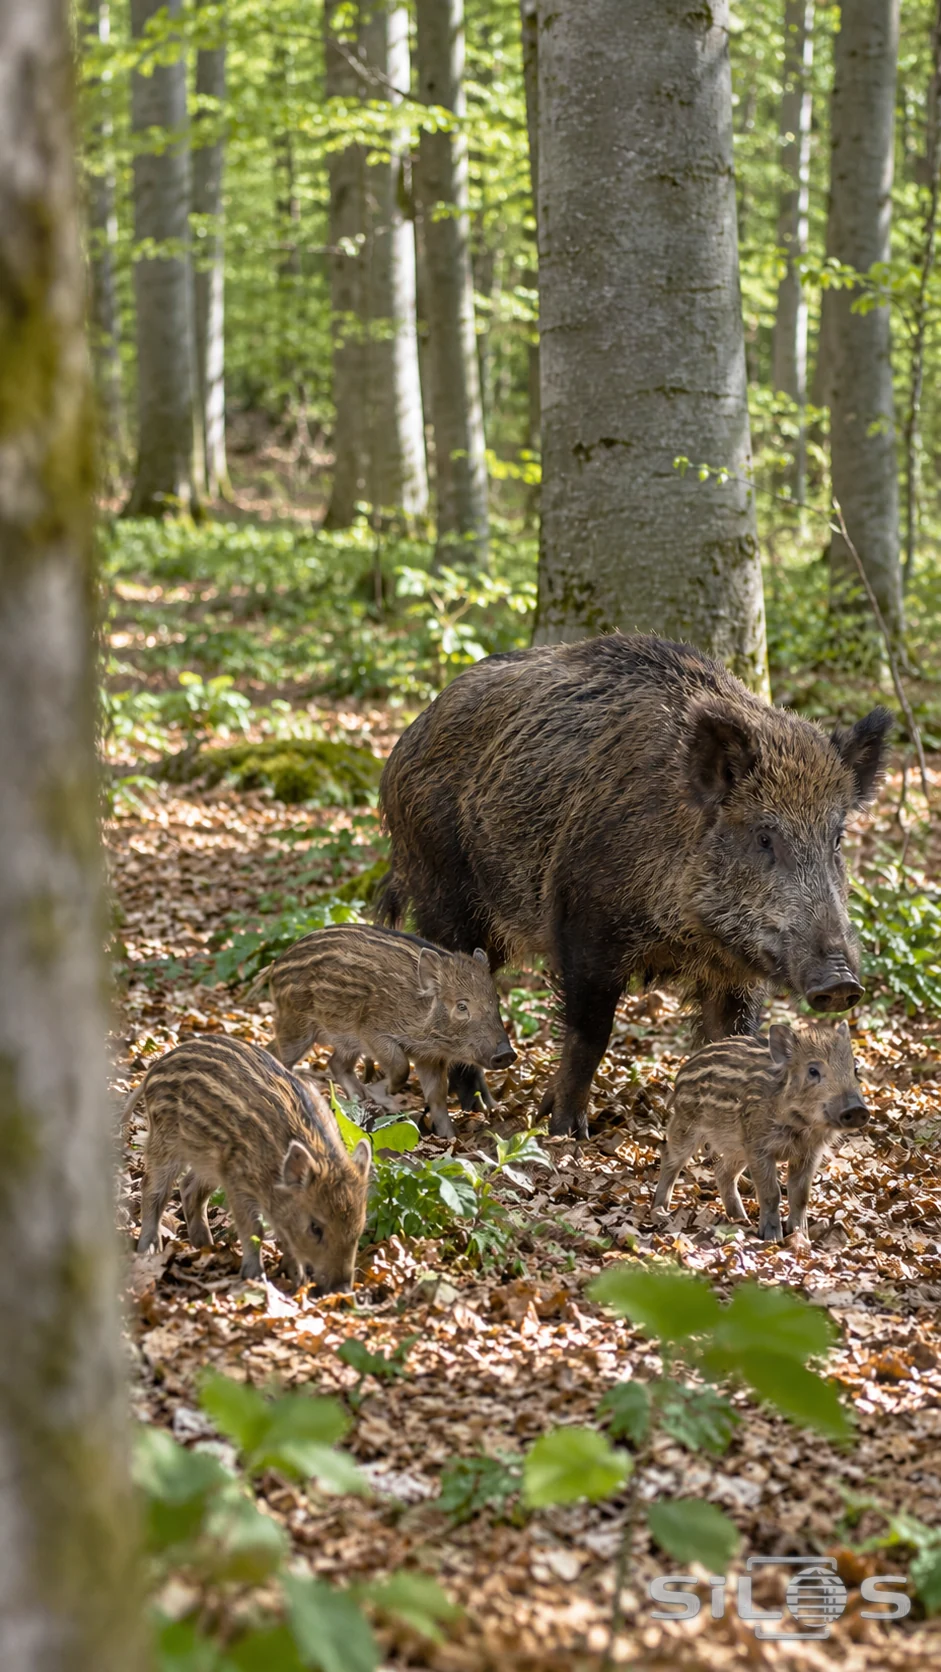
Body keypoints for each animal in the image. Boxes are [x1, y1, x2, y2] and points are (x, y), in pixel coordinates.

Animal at [126, 1036, 370, 1291]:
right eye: (315, 1227)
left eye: (360, 1226)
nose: (342, 1290)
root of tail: (158, 1065)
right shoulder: (238, 1181)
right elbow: (254, 1230)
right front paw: (256, 1276)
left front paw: (294, 1277)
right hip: (166, 1141)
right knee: (153, 1189)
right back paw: (149, 1249)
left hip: (209, 1160)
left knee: (189, 1187)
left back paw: (205, 1246)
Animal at [244, 923, 516, 1138]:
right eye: (461, 1006)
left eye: (496, 1000)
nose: (506, 1053)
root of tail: (274, 966)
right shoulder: (373, 1033)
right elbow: (400, 1067)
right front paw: (385, 1097)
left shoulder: (430, 1057)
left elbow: (437, 1097)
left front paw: (450, 1137)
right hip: (296, 1026)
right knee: (278, 1055)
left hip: (342, 1040)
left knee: (336, 1063)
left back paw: (357, 1100)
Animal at [377, 633, 892, 1138]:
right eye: (765, 836)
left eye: (837, 838)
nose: (841, 983)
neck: (687, 933)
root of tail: (407, 741)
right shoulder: (585, 927)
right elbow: (590, 1035)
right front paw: (565, 1131)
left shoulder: (736, 972)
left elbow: (732, 1039)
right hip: (441, 888)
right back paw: (480, 1106)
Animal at [653, 1020, 869, 1240]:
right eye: (812, 1071)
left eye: (855, 1069)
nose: (857, 1109)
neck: (800, 1125)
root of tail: (681, 1074)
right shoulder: (759, 1146)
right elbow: (771, 1192)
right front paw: (772, 1237)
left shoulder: (809, 1152)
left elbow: (800, 1195)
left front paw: (801, 1235)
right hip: (686, 1124)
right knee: (670, 1157)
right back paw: (659, 1209)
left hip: (736, 1148)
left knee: (722, 1171)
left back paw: (740, 1218)